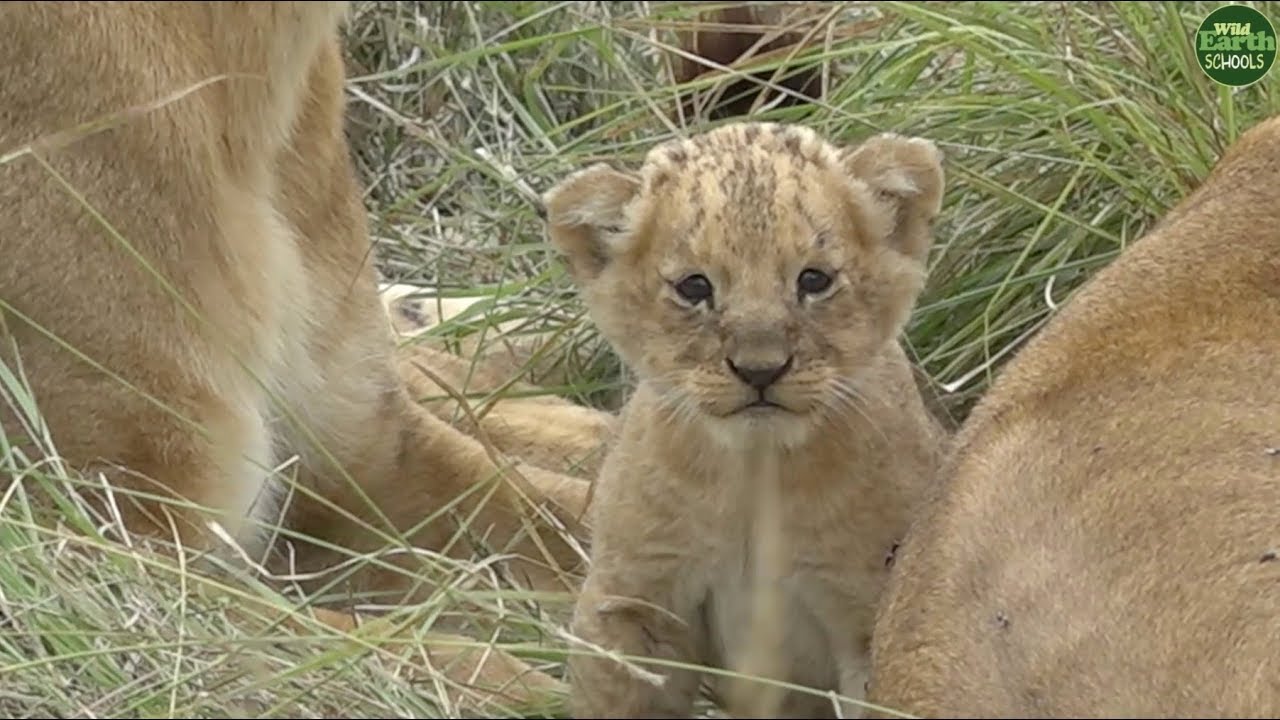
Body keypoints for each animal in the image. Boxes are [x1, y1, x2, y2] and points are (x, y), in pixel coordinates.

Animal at [540, 121, 951, 718]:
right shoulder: (634, 601)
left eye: (814, 280)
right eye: (694, 287)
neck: (758, 469)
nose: (761, 370)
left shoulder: (869, 612)